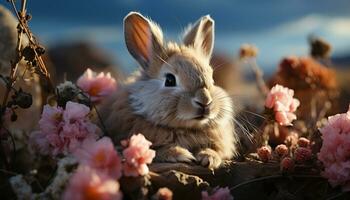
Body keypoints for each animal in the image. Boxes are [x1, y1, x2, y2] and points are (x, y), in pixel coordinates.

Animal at [104, 12, 239, 169]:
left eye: (212, 78)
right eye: (169, 80)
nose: (205, 102)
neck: (183, 129)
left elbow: (215, 150)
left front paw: (209, 158)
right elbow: (158, 150)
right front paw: (181, 154)